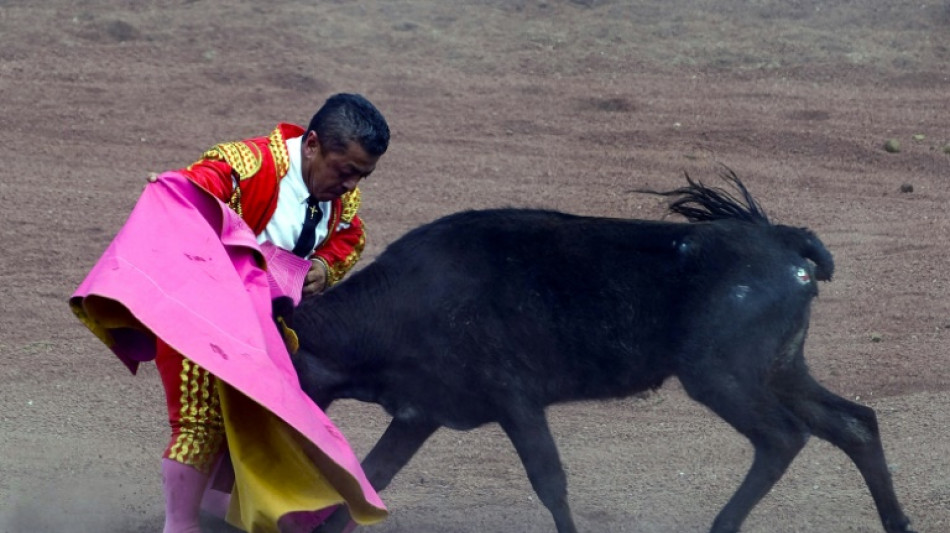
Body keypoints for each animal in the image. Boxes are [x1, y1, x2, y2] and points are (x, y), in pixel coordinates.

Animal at [290, 175, 916, 532]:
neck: (401, 304)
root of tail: (785, 240)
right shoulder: (420, 413)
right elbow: (373, 476)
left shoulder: (513, 400)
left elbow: (550, 481)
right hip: (781, 368)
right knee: (854, 423)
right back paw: (898, 522)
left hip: (722, 376)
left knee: (784, 437)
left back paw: (723, 525)